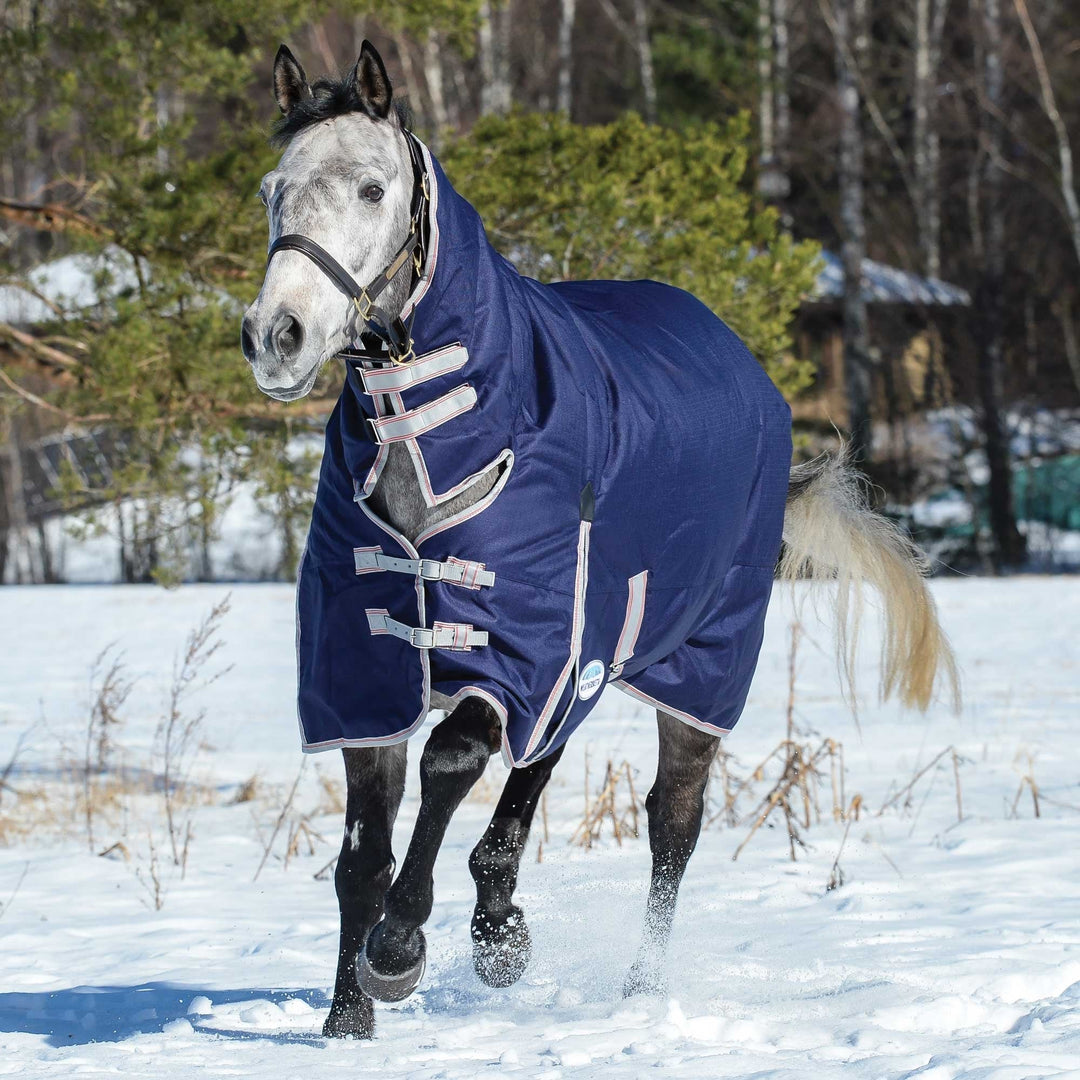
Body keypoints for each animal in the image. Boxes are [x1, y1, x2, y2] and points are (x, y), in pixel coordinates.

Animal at [240, 39, 959, 1036]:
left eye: (372, 189)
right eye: (273, 189)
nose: (279, 335)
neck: (437, 435)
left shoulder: (525, 647)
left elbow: (451, 759)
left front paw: (399, 949)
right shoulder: (369, 668)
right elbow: (362, 851)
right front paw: (349, 1020)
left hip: (693, 667)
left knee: (672, 824)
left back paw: (637, 991)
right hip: (592, 649)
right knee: (537, 777)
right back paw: (500, 925)